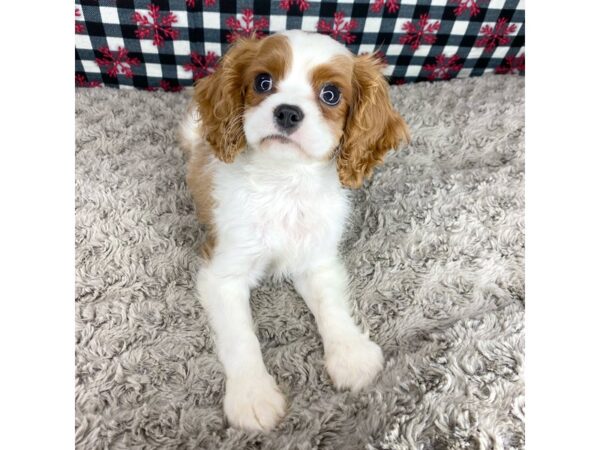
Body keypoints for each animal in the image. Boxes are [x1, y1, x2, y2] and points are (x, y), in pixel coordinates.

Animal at [178, 29, 410, 430]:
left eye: (330, 94)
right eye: (262, 82)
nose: (287, 111)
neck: (284, 182)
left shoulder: (317, 262)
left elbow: (331, 306)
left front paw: (351, 354)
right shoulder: (223, 274)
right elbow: (241, 337)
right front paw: (252, 395)